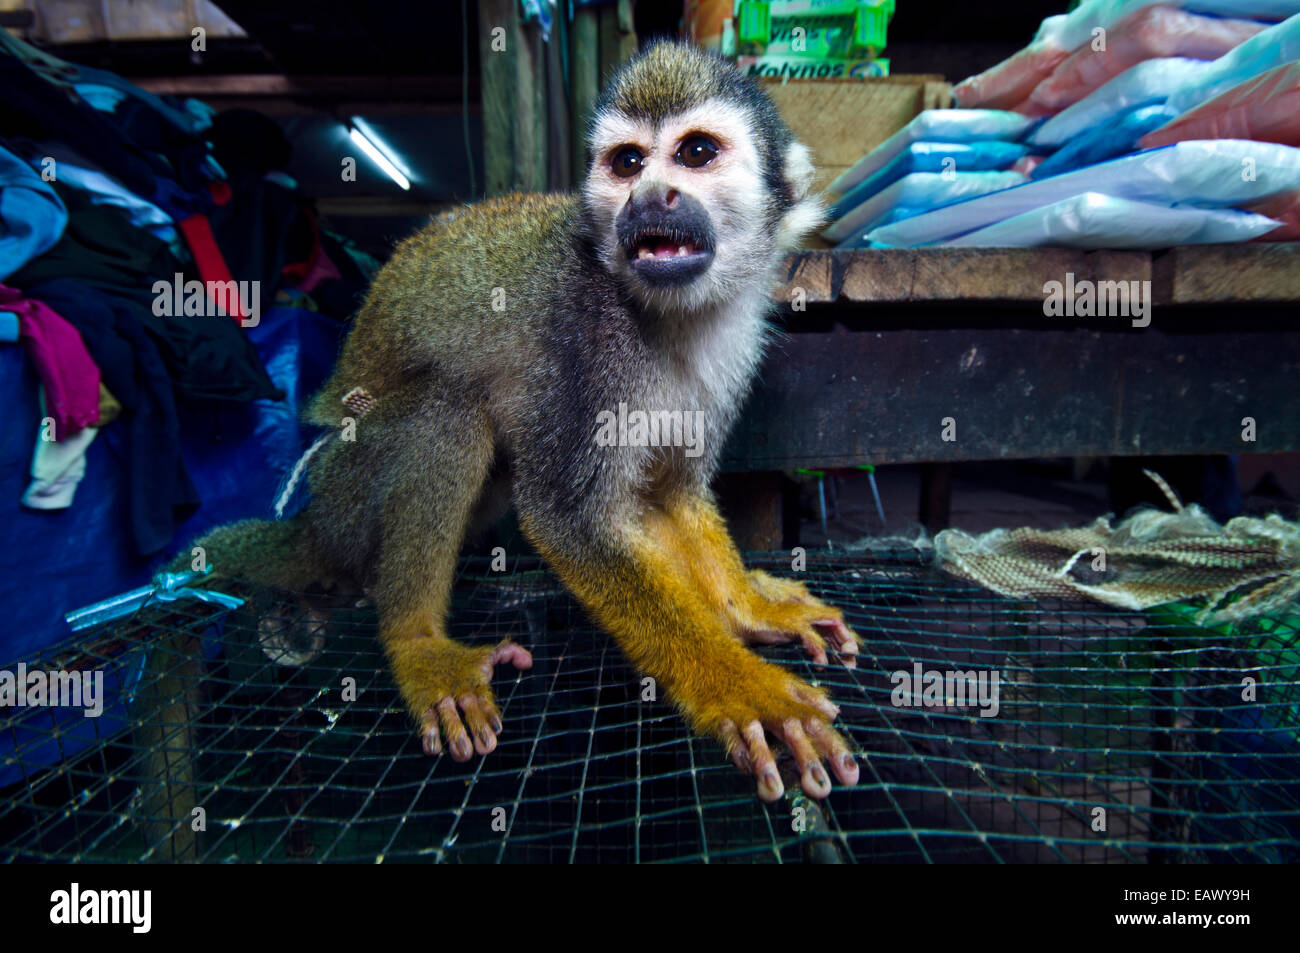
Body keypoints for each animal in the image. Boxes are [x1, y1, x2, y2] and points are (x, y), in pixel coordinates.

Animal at [188, 42, 863, 800]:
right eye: (628, 162)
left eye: (695, 153)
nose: (649, 196)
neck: (673, 311)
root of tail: (309, 526)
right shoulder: (583, 337)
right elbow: (567, 518)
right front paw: (742, 686)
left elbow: (670, 494)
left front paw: (745, 609)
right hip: (344, 491)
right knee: (448, 414)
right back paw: (417, 643)